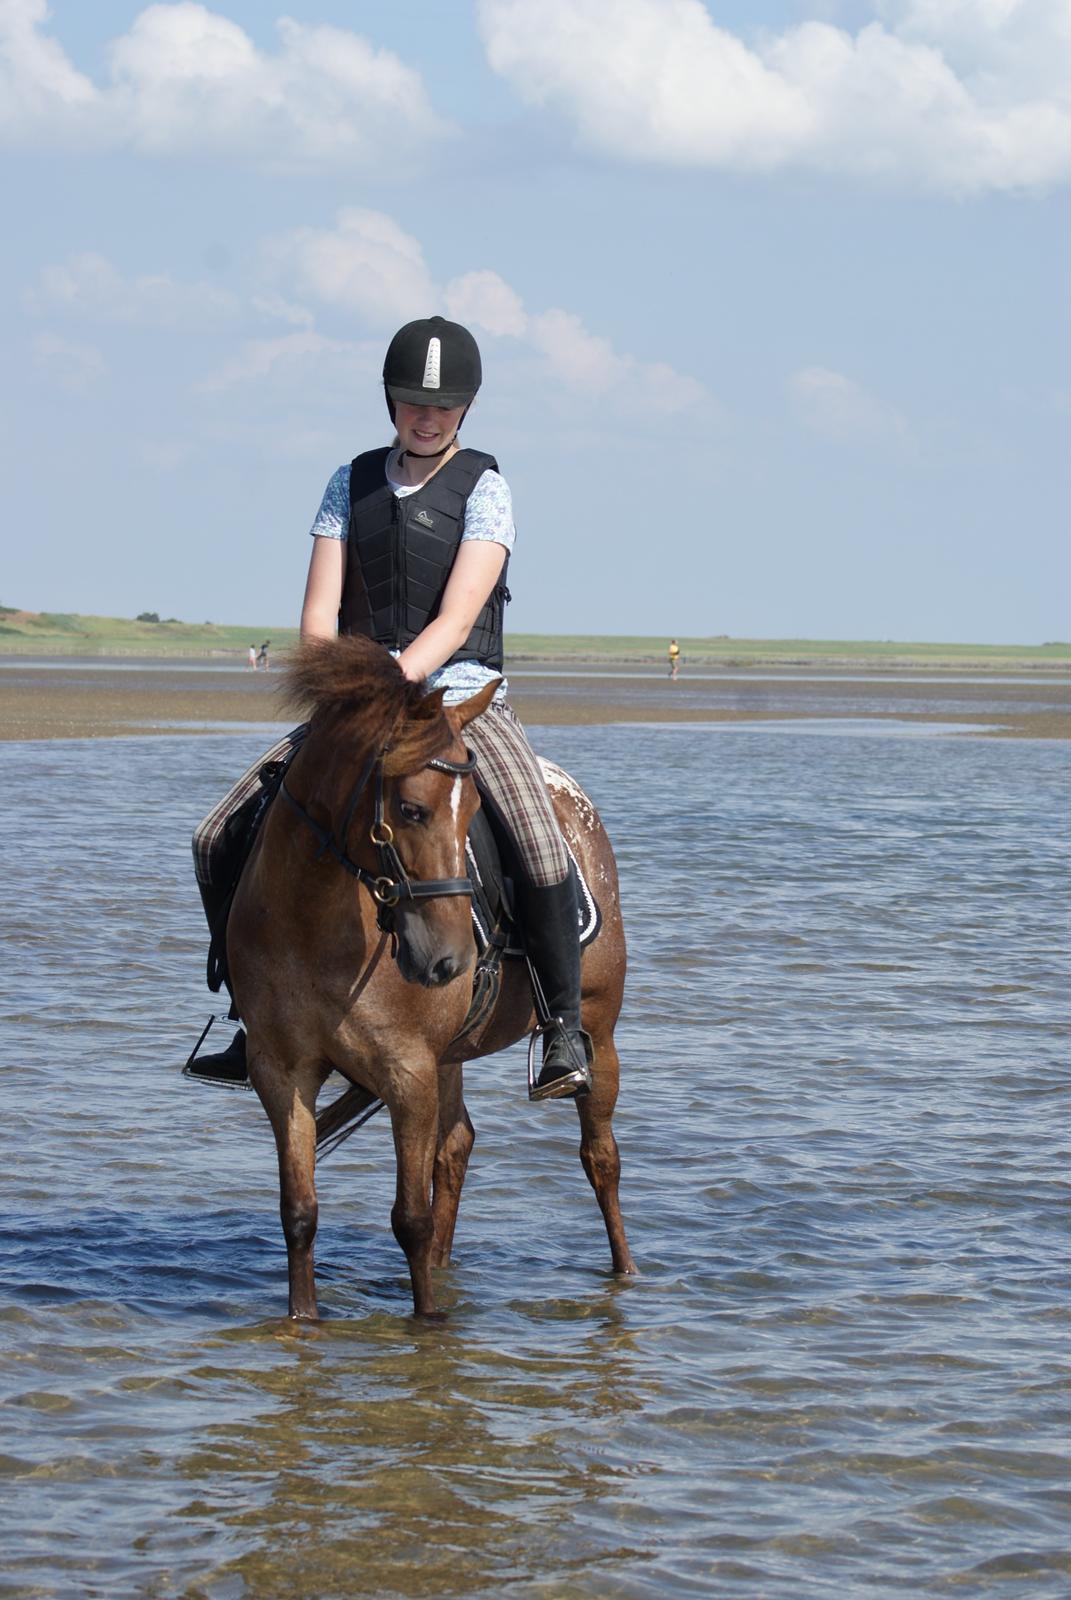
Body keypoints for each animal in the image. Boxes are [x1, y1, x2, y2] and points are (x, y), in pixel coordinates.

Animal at [227, 630, 633, 1318]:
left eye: (473, 813)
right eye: (412, 810)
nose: (449, 962)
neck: (313, 916)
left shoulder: (408, 1072)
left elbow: (408, 1218)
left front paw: (428, 1324)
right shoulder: (282, 1071)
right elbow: (299, 1213)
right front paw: (302, 1322)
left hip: (597, 1034)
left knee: (600, 1157)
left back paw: (627, 1274)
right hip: (451, 1054)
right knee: (457, 1147)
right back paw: (447, 1270)